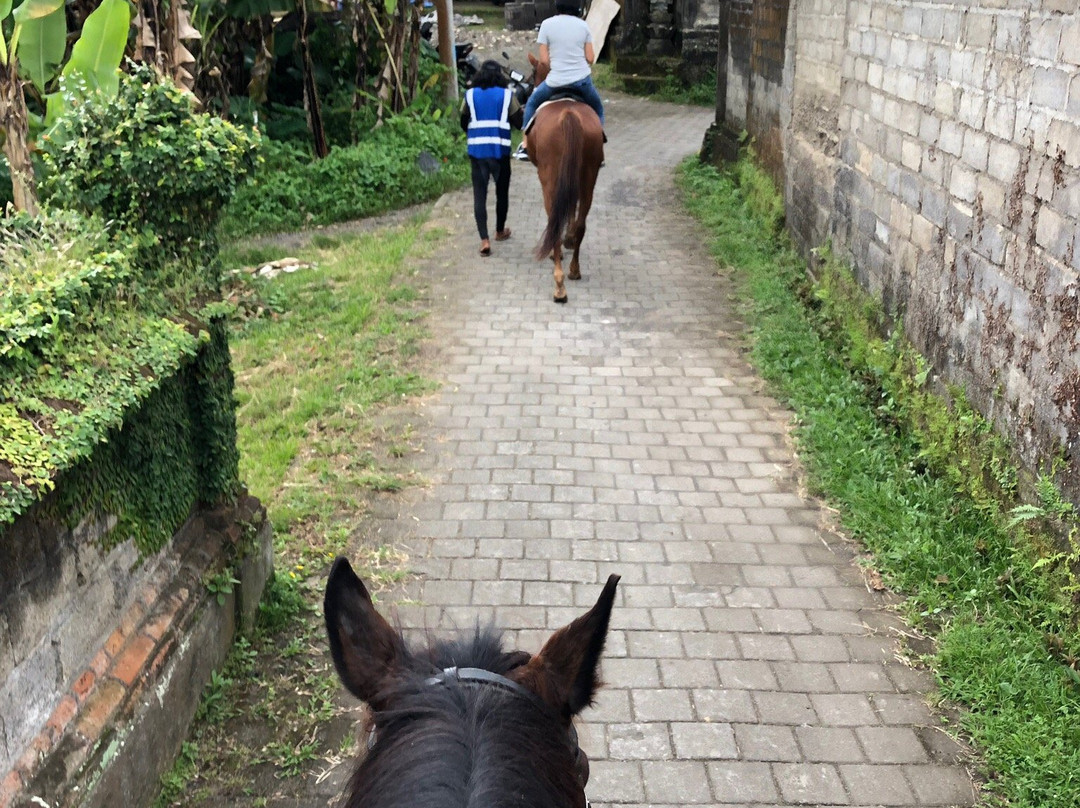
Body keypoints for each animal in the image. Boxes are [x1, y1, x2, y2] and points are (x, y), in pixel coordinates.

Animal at [524, 52, 604, 302]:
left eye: (534, 73)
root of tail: (569, 114)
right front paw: (569, 240)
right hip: (589, 174)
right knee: (581, 223)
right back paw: (574, 270)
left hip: (549, 177)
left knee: (554, 220)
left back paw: (559, 284)